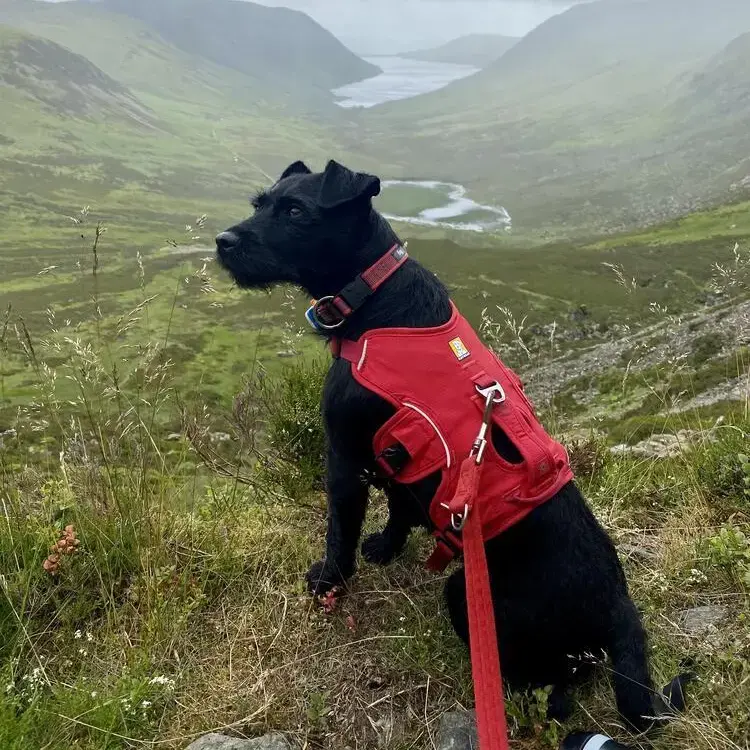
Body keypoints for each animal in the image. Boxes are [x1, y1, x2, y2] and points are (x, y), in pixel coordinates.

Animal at [216, 162, 680, 732]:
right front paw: (387, 546)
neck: (374, 297)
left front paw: (330, 580)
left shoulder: (345, 454)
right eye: (260, 204)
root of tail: (618, 606)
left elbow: (339, 528)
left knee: (554, 682)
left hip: (465, 596)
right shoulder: (399, 455)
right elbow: (398, 506)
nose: (223, 241)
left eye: (296, 211)